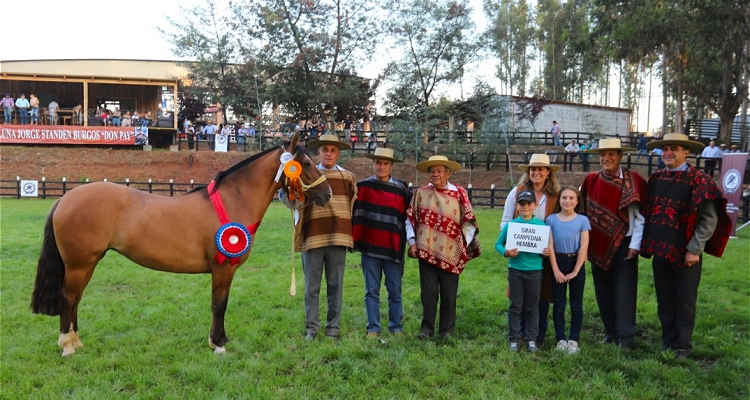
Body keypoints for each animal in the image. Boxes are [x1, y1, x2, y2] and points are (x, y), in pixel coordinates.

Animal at [31, 134, 332, 356]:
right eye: (305, 163)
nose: (327, 193)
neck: (232, 201)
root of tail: (66, 197)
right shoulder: (222, 269)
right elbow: (218, 304)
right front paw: (218, 344)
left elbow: (221, 304)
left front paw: (219, 340)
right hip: (79, 264)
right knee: (68, 298)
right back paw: (67, 346)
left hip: (88, 263)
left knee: (76, 299)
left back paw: (76, 342)